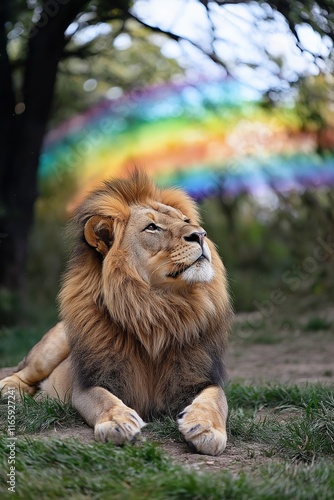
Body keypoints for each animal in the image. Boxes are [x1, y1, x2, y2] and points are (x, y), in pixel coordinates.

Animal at [0, 172, 232, 458]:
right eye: (152, 227)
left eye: (186, 221)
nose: (200, 234)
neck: (159, 310)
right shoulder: (91, 381)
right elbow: (103, 399)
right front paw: (118, 421)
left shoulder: (200, 377)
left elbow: (216, 399)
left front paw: (205, 428)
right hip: (51, 347)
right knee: (20, 372)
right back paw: (11, 391)